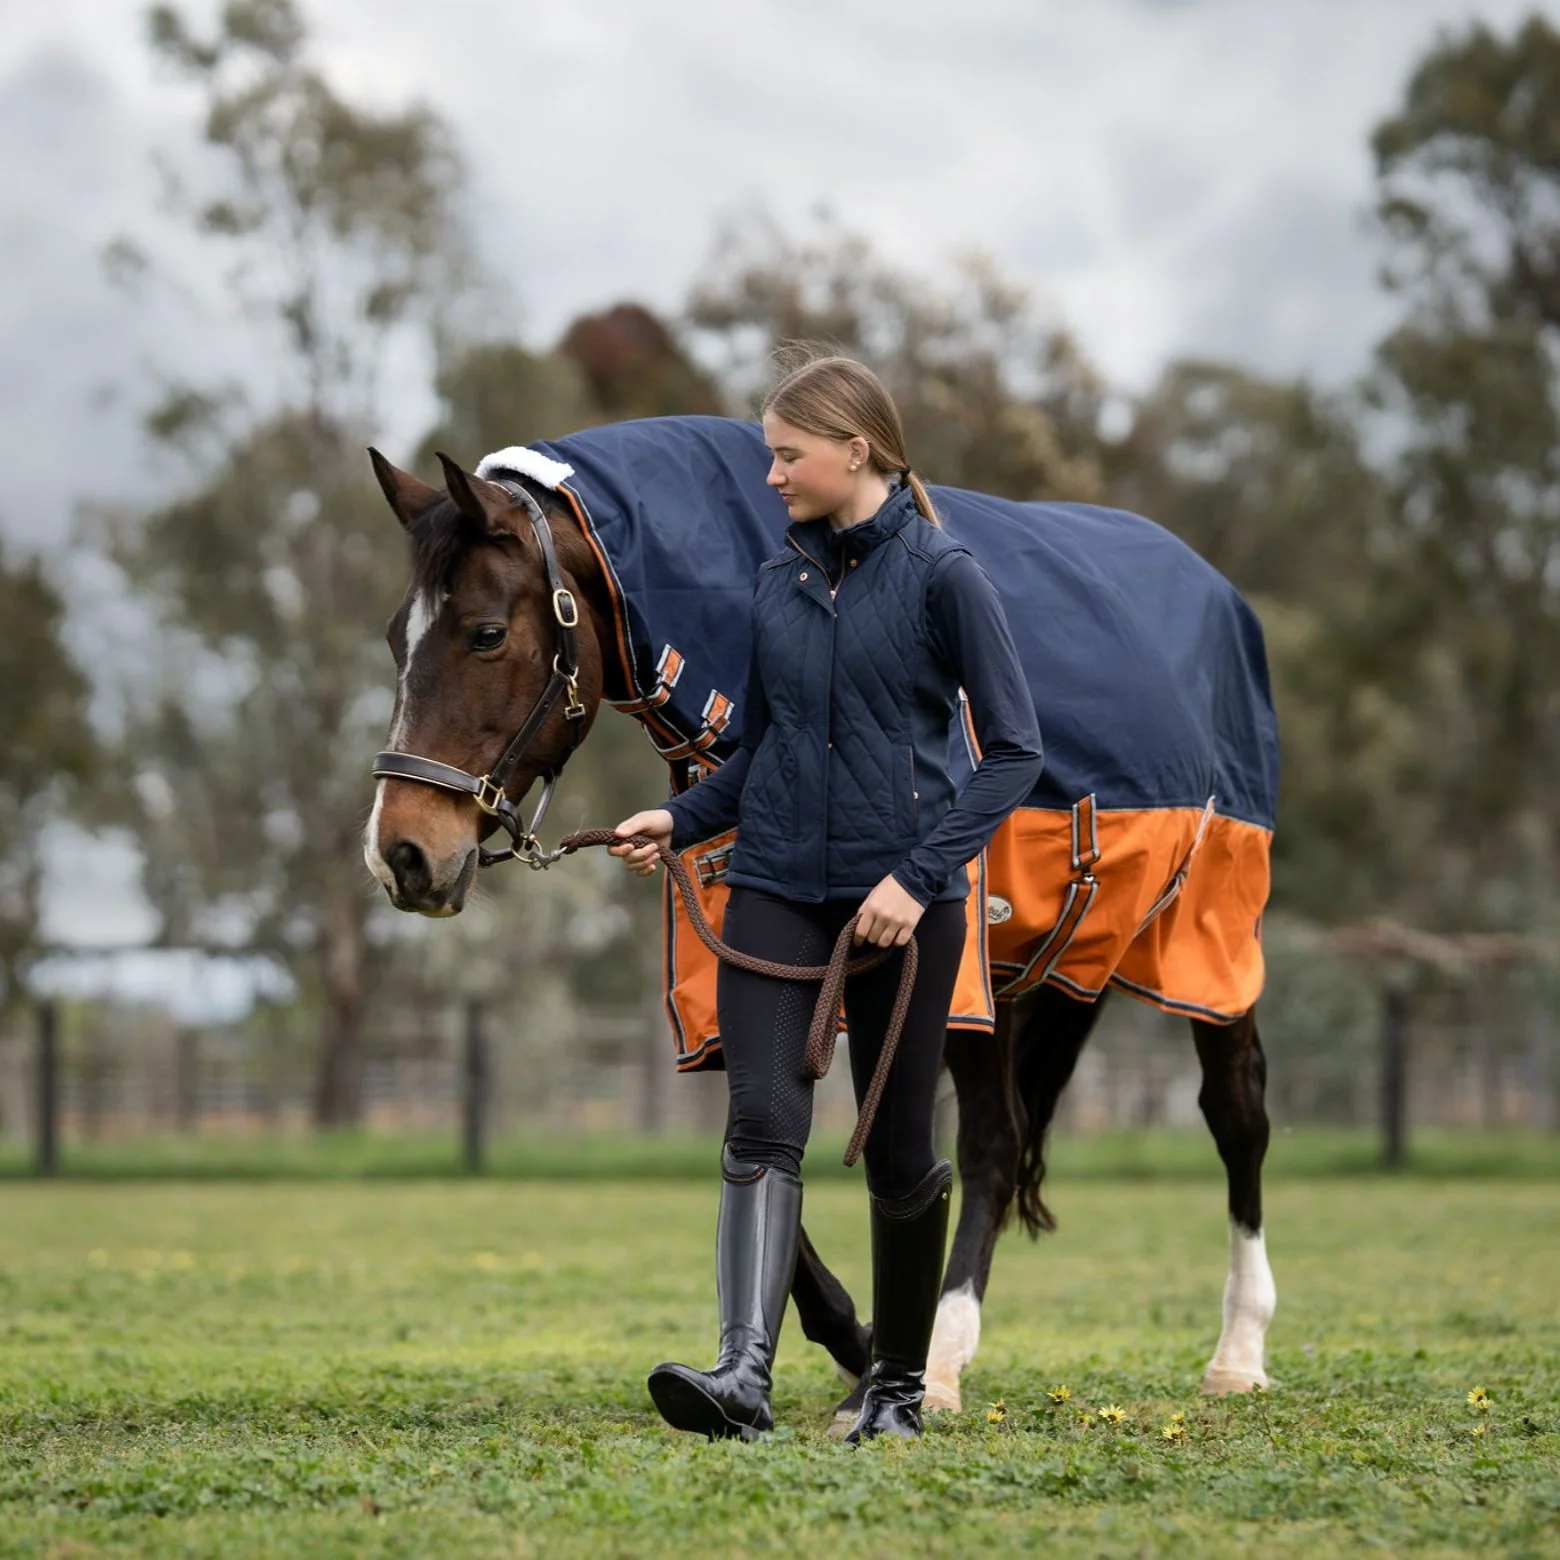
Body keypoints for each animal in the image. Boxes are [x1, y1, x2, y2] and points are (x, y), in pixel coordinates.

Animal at [362, 415, 1279, 1418]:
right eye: (396, 638)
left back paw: (1234, 1353)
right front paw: (858, 1344)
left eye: (486, 634)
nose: (400, 854)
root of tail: (1222, 599)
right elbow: (759, 1135)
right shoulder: (745, 961)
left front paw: (877, 1357)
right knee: (995, 1145)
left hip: (1205, 943)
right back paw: (946, 1352)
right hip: (996, 984)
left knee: (1236, 1115)